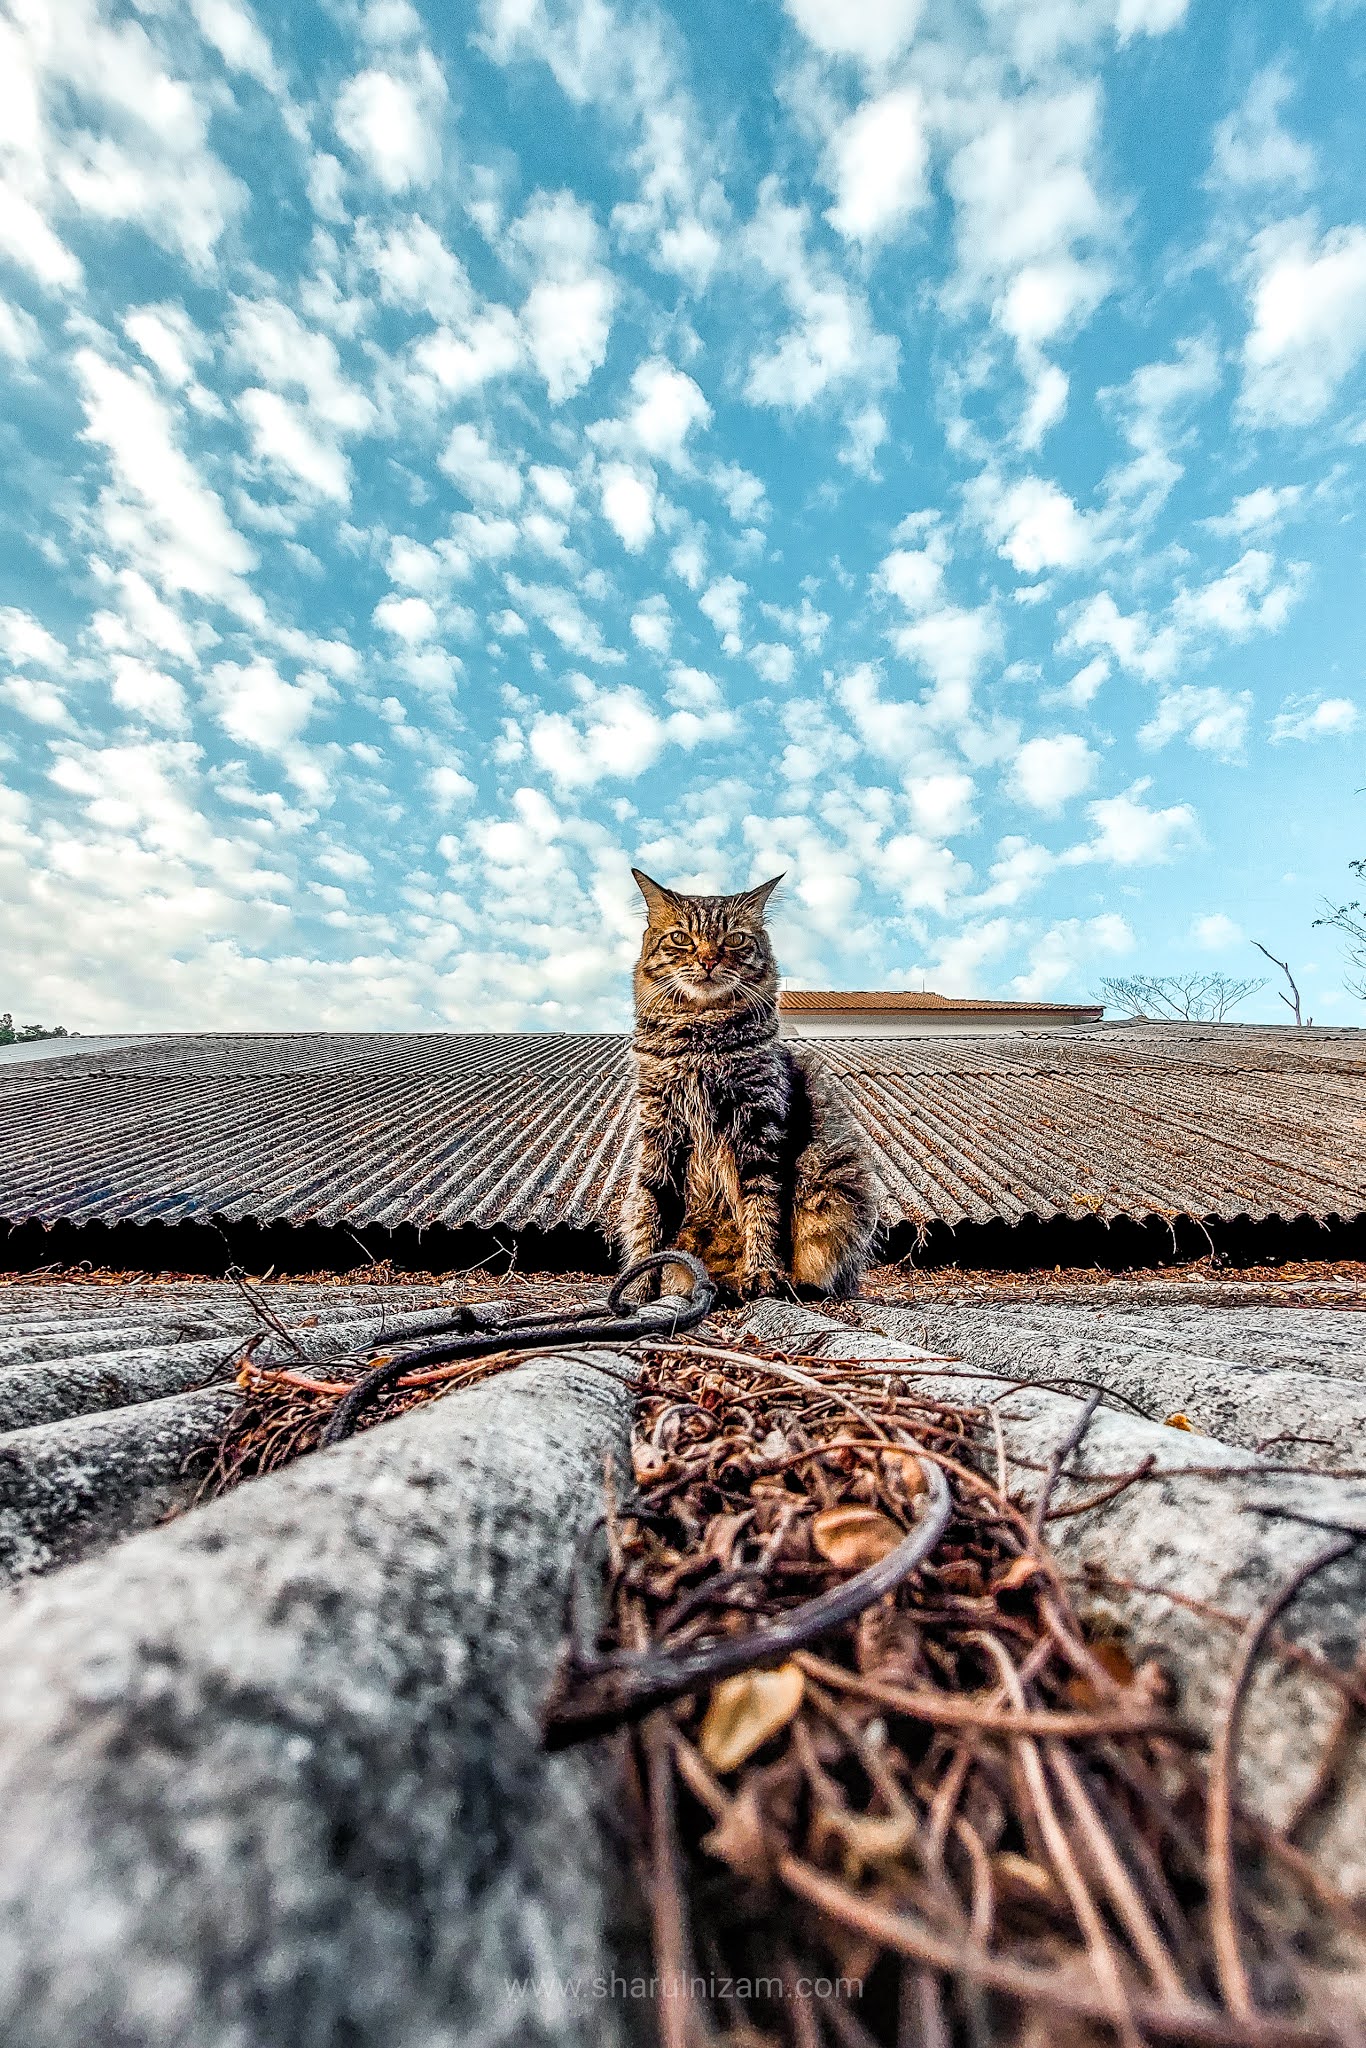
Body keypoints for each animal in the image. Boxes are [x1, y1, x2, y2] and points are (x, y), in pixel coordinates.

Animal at [618, 864, 876, 1294]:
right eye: (680, 938)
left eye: (735, 939)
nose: (708, 959)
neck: (700, 1039)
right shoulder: (660, 1130)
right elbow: (651, 1212)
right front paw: (639, 1286)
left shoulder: (759, 1124)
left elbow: (762, 1205)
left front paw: (762, 1272)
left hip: (834, 1183)